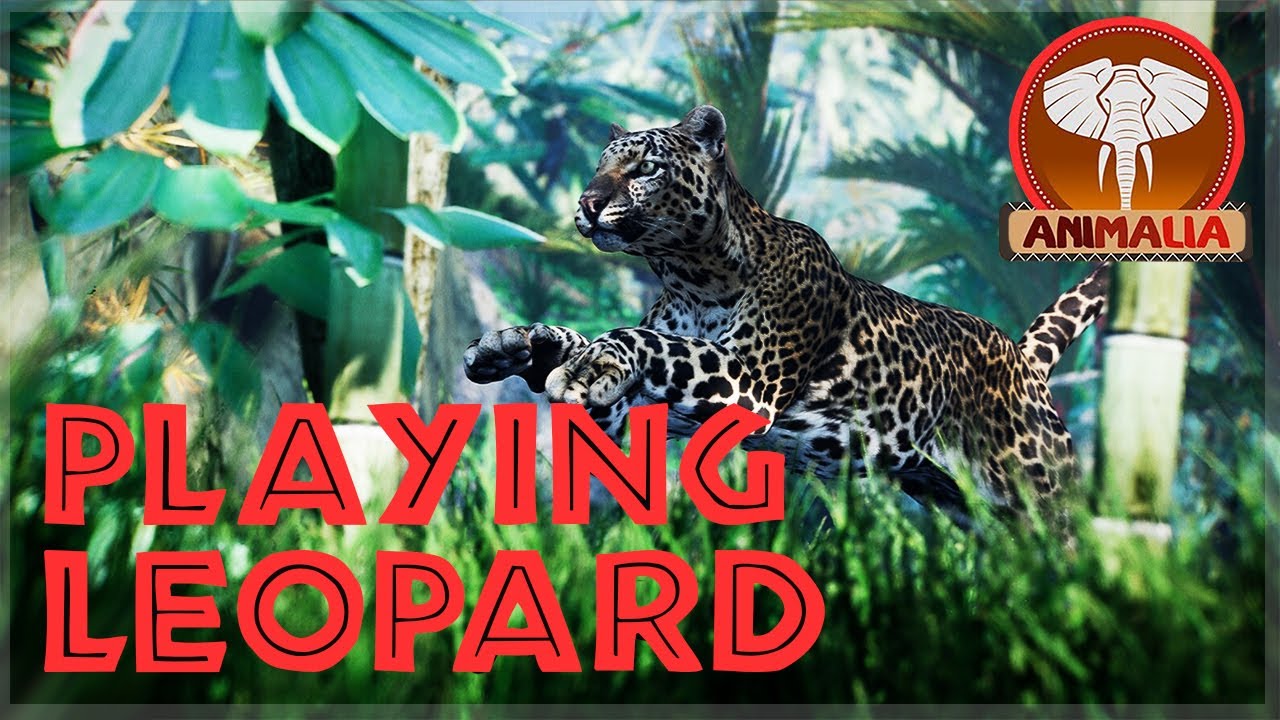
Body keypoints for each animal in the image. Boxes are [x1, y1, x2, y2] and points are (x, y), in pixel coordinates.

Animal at [463, 105, 1109, 517]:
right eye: (598, 167)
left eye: (645, 167)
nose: (589, 202)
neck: (689, 275)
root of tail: (1022, 359)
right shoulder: (645, 411)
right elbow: (595, 352)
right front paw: (520, 347)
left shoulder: (748, 378)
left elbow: (647, 342)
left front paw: (588, 362)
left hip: (1043, 492)